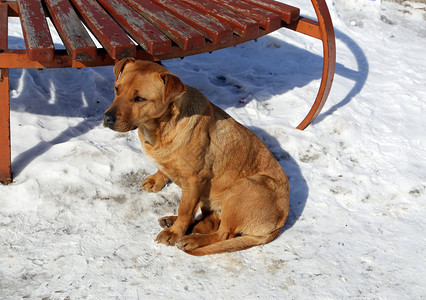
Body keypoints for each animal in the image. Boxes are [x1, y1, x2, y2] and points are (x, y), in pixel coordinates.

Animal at [103, 58, 290, 255]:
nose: (107, 118)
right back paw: (177, 223)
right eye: (117, 89)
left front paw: (174, 233)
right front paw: (157, 179)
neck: (160, 128)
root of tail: (279, 223)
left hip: (244, 186)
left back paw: (190, 239)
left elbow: (185, 210)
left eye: (140, 99)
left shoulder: (194, 181)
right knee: (210, 223)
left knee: (223, 234)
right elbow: (164, 171)